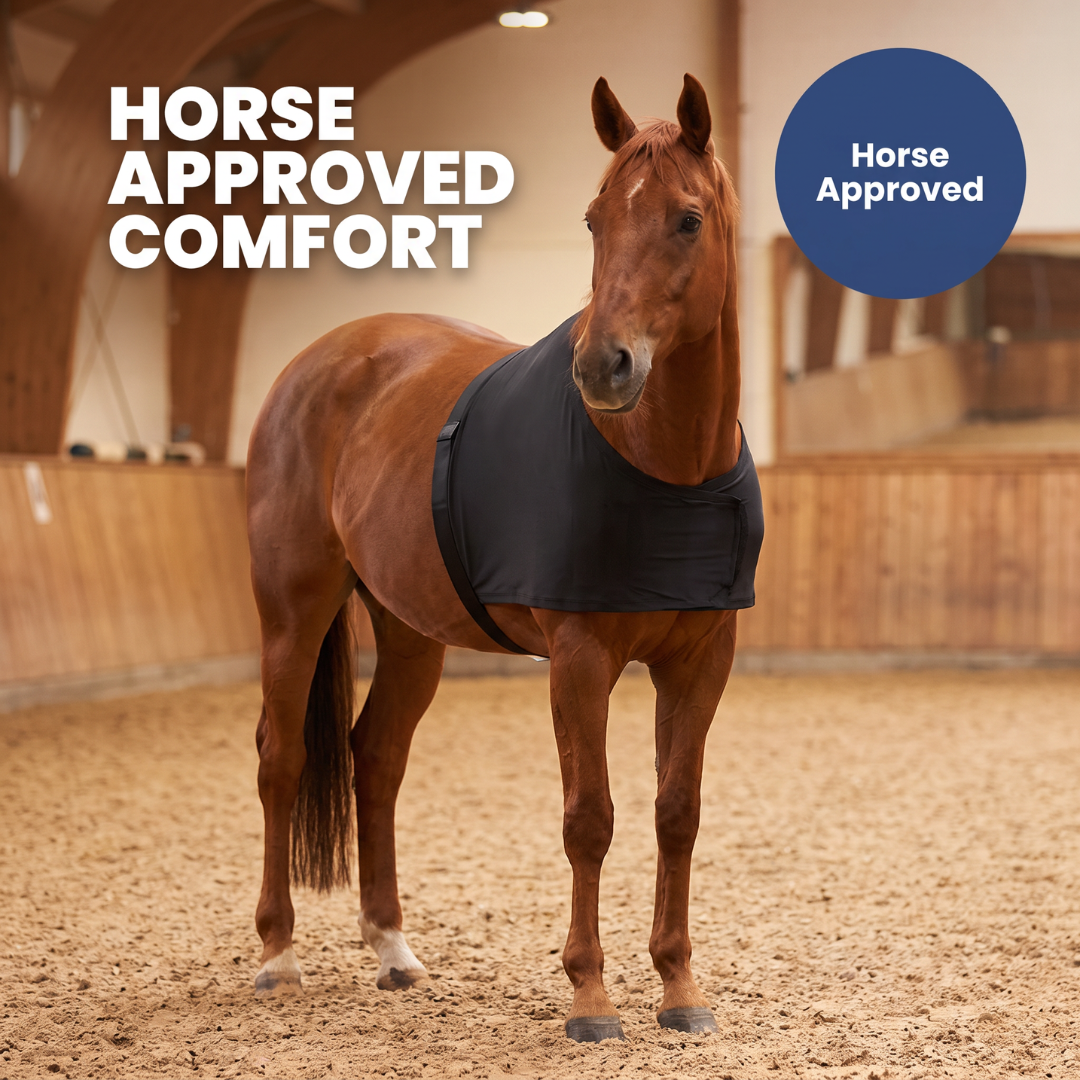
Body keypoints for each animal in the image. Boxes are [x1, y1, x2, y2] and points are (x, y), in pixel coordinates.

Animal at [246, 72, 745, 1043]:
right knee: (280, 759)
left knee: (376, 758)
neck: (665, 467)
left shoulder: (701, 662)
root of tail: (314, 364)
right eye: (594, 219)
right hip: (294, 612)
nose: (603, 367)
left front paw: (679, 988)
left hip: (410, 632)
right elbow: (590, 820)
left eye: (687, 219)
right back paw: (279, 955)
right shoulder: (580, 663)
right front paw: (590, 998)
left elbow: (678, 813)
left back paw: (392, 949)